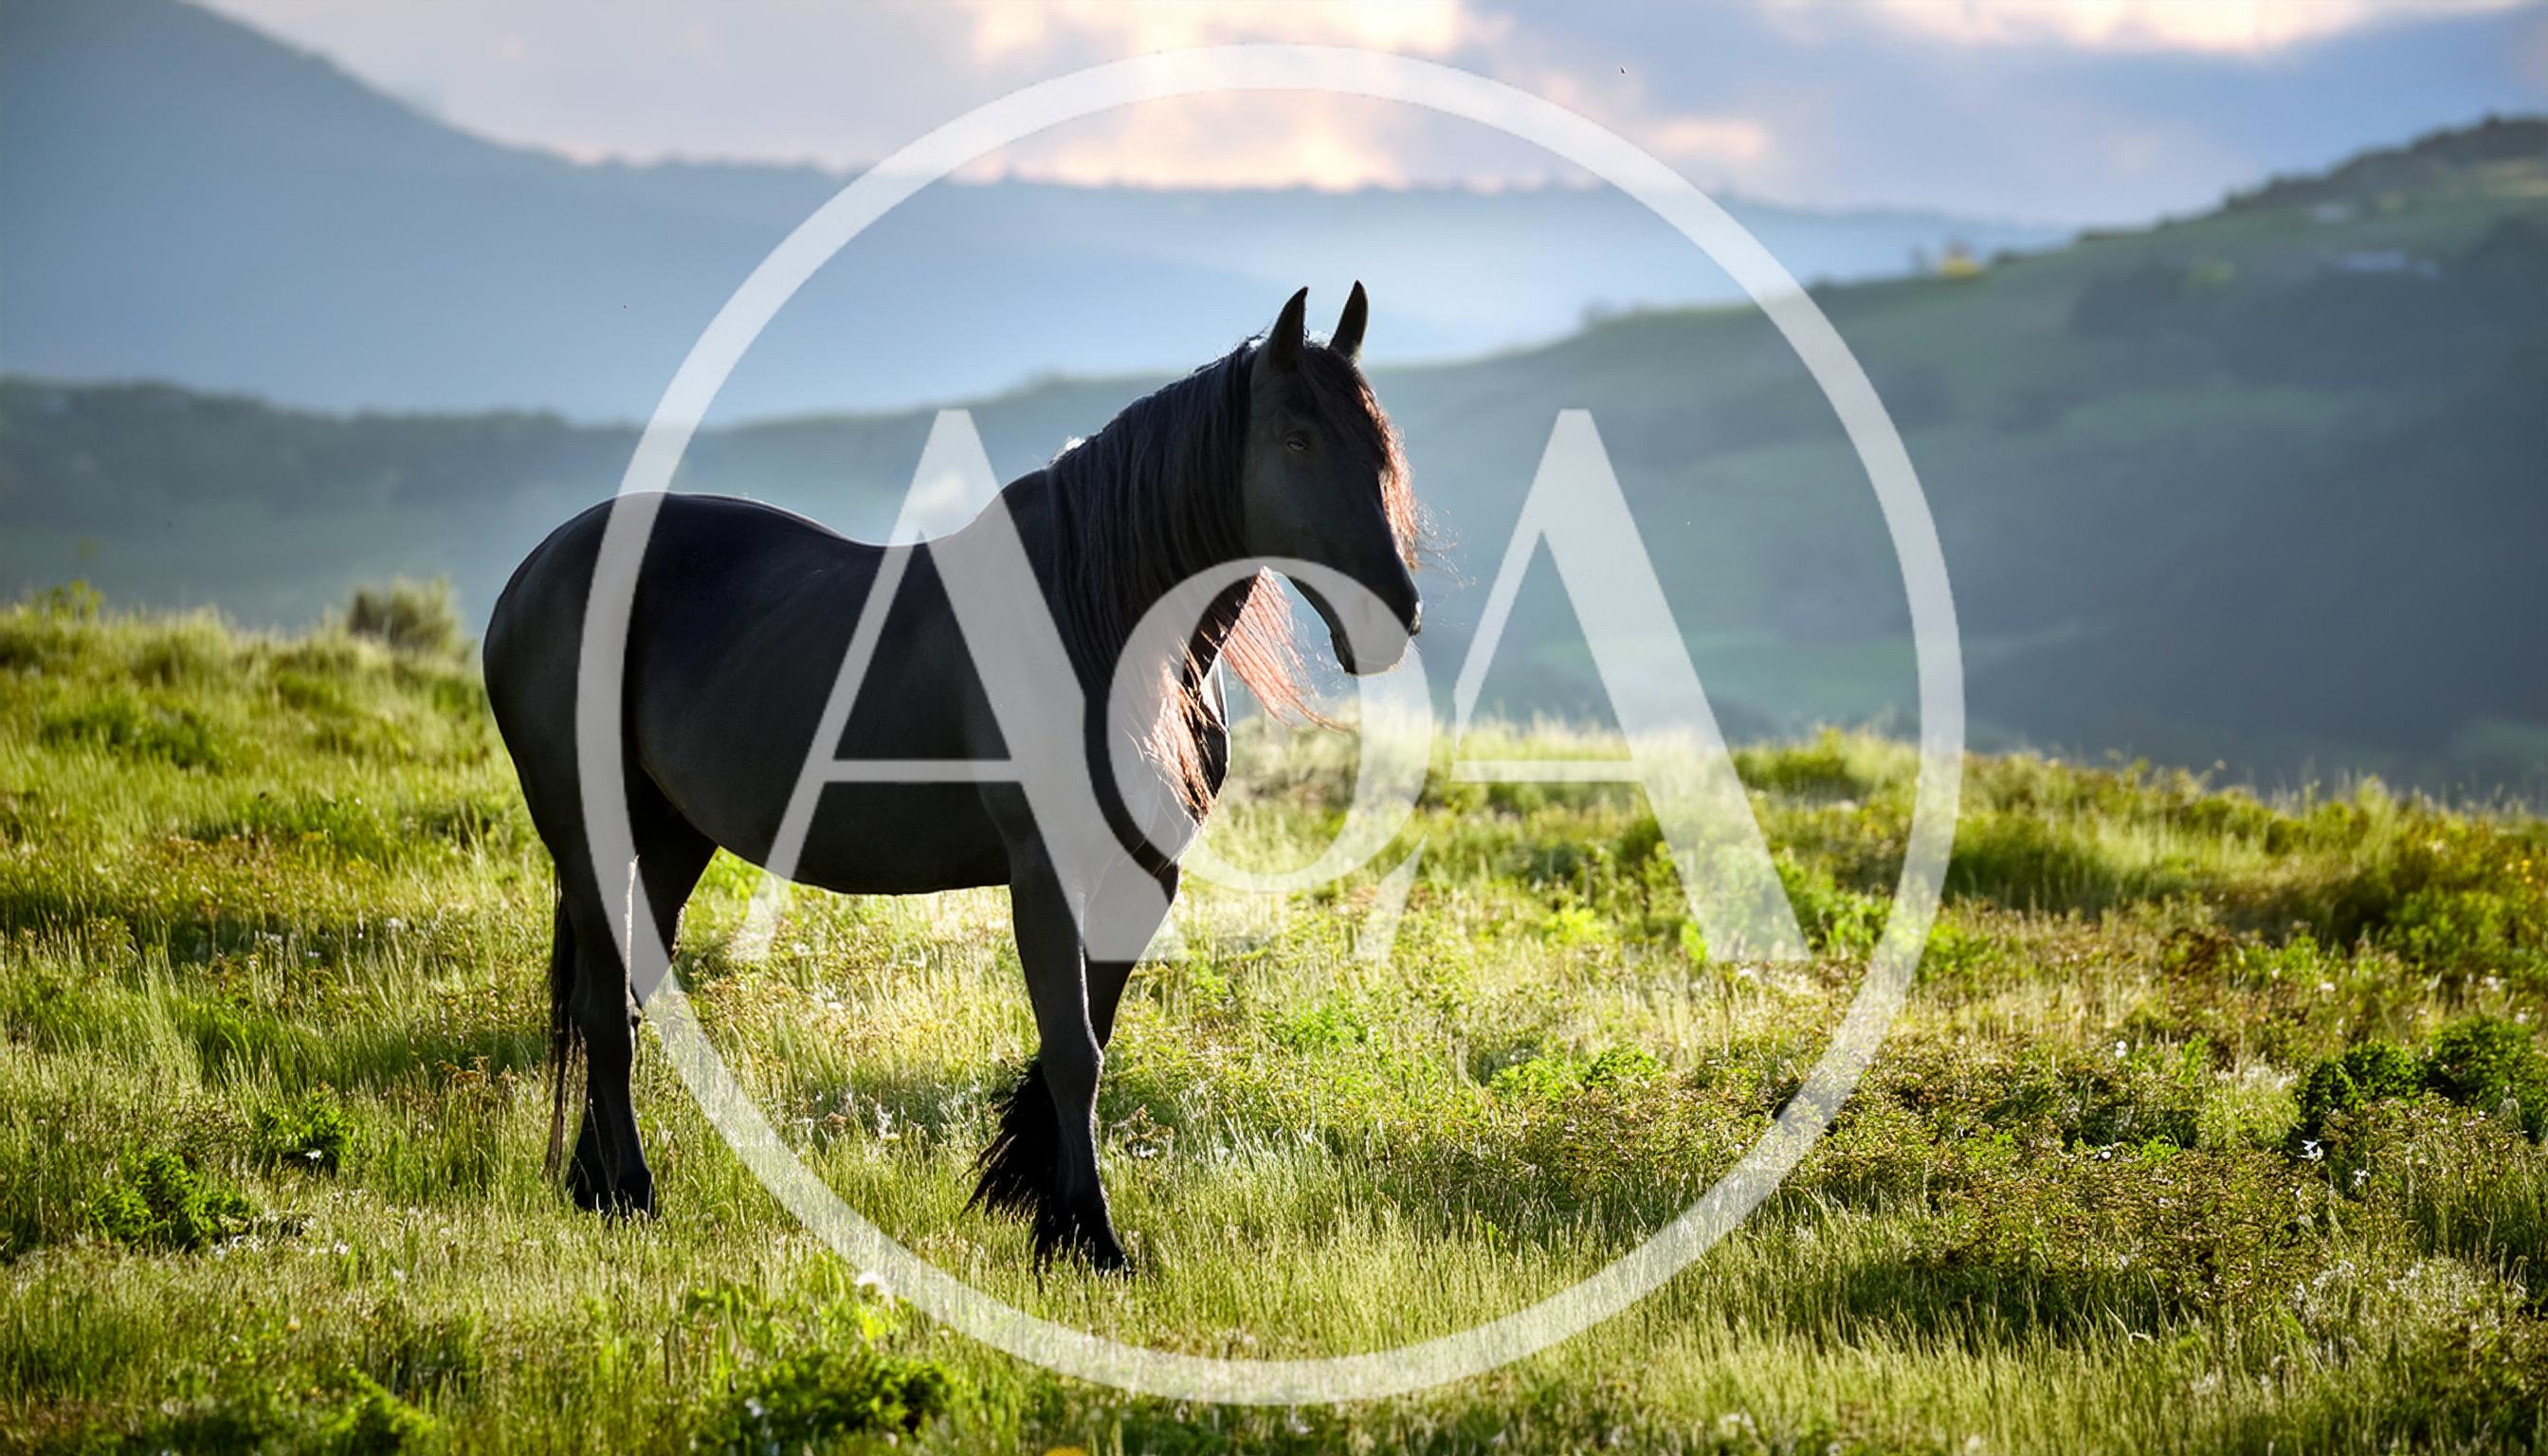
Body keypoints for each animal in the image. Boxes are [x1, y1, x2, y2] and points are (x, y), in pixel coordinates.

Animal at [483, 285, 1422, 1271]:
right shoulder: (1047, 873)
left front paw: (1046, 1213)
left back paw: (594, 1186)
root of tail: (537, 570)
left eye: (1378, 445)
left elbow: (1087, 1039)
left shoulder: (1144, 873)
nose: (1392, 617)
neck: (1097, 622)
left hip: (668, 836)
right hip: (586, 829)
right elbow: (1074, 1050)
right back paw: (629, 1192)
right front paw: (1090, 1235)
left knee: (619, 1000)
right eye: (1294, 439)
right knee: (600, 1009)